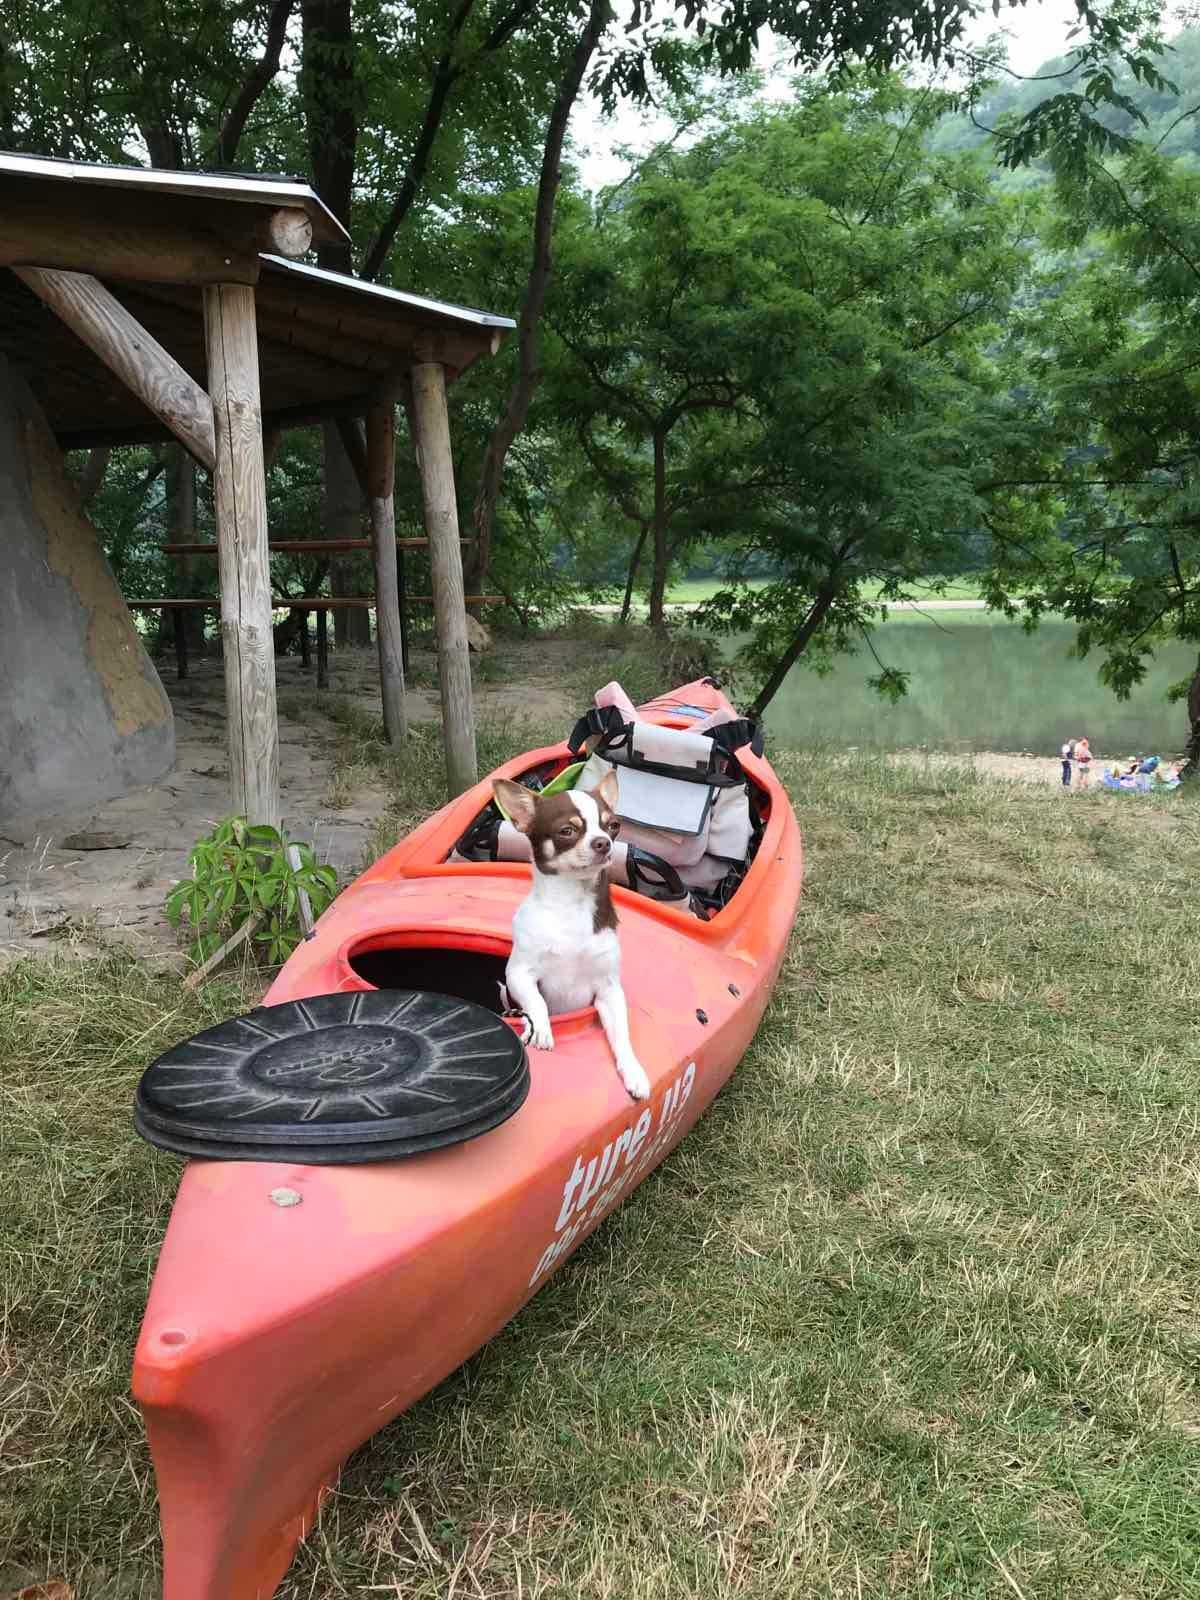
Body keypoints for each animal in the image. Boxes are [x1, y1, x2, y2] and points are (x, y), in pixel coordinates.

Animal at [492, 764, 652, 1100]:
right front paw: (542, 1029)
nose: (603, 842)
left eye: (612, 826)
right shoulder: (519, 974)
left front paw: (633, 1071)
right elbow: (537, 1002)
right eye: (567, 831)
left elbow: (622, 1036)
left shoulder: (608, 990)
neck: (572, 903)